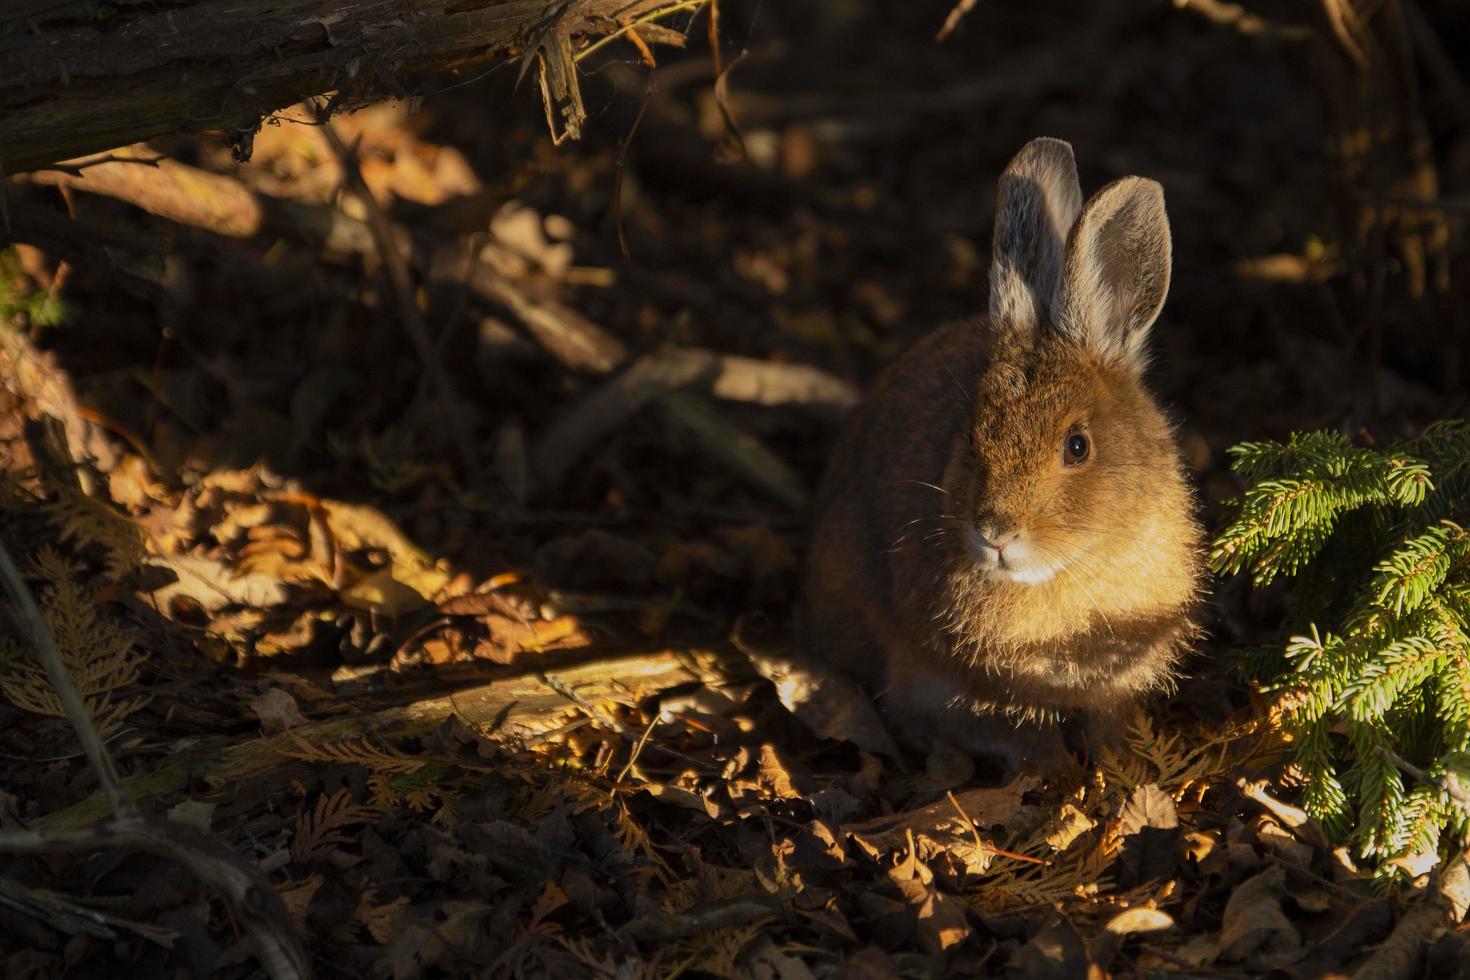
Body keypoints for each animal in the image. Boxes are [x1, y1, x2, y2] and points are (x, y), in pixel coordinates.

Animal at [805, 135, 1205, 775]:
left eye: (1077, 446)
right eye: (971, 435)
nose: (995, 532)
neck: (1076, 564)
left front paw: (1118, 772)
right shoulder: (969, 689)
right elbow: (1026, 738)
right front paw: (1066, 780)